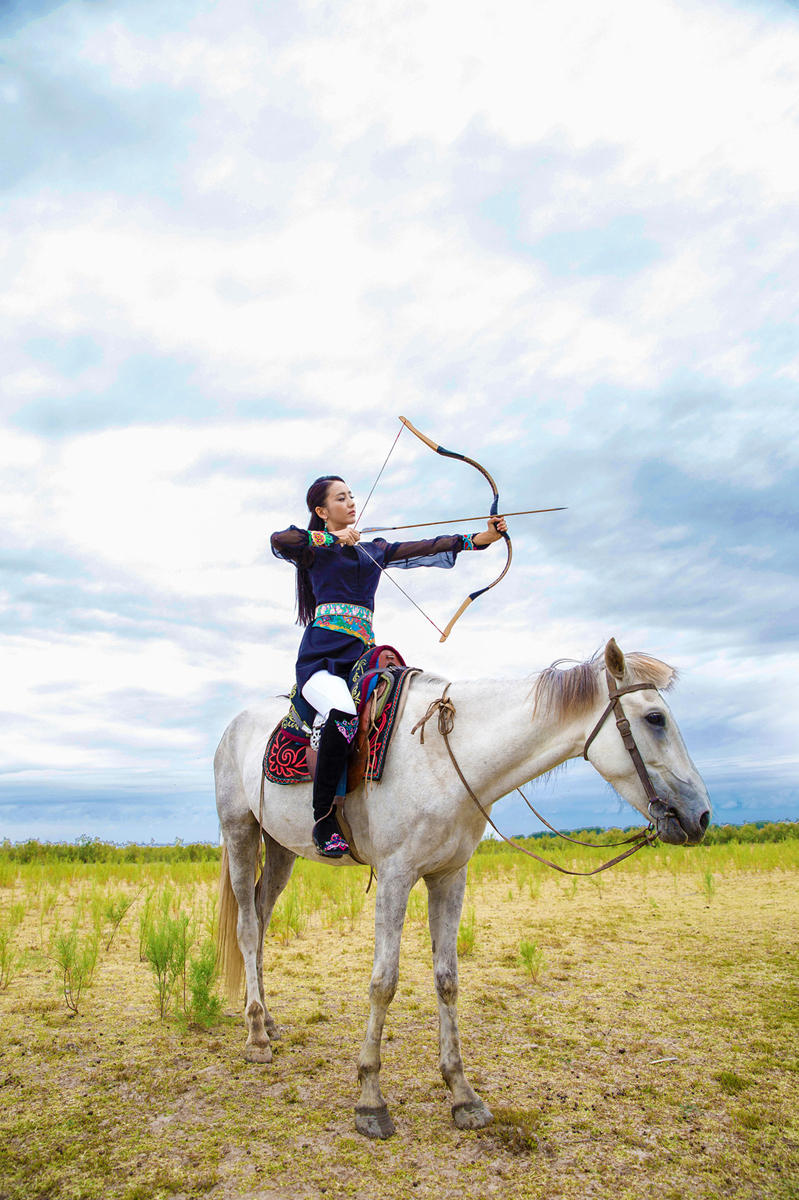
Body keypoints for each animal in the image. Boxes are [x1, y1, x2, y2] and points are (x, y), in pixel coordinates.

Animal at [213, 638, 710, 1132]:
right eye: (655, 718)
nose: (701, 816)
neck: (445, 758)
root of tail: (233, 727)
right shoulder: (395, 876)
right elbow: (383, 982)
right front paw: (370, 1099)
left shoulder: (449, 877)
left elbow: (447, 980)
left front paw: (461, 1093)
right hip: (240, 833)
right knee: (248, 929)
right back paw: (256, 1035)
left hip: (282, 849)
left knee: (262, 916)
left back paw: (268, 1020)